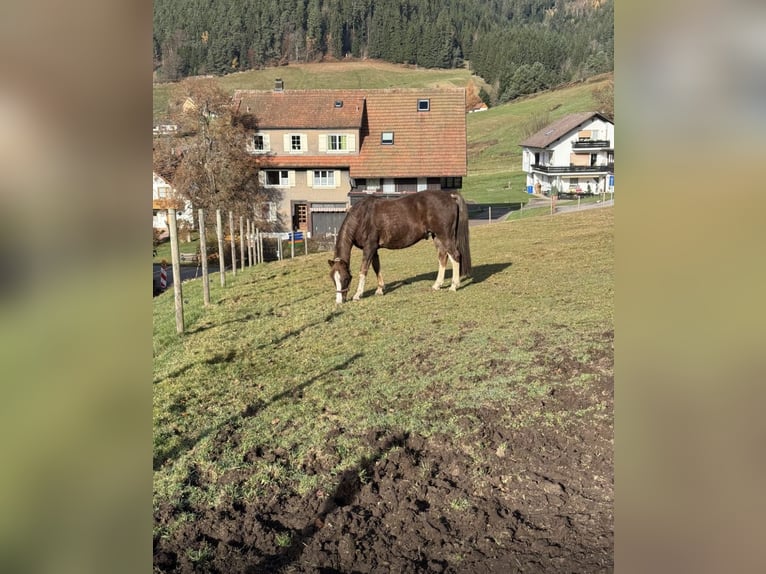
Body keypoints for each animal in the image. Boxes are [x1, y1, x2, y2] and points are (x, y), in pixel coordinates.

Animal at [328, 190, 472, 303]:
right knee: (443, 257)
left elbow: (364, 270)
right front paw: (380, 289)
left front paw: (358, 294)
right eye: (333, 279)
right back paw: (437, 285)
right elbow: (376, 267)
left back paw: (454, 286)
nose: (339, 301)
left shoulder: (369, 247)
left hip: (445, 235)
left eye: (345, 278)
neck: (362, 216)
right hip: (436, 236)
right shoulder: (374, 249)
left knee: (455, 255)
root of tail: (449, 196)